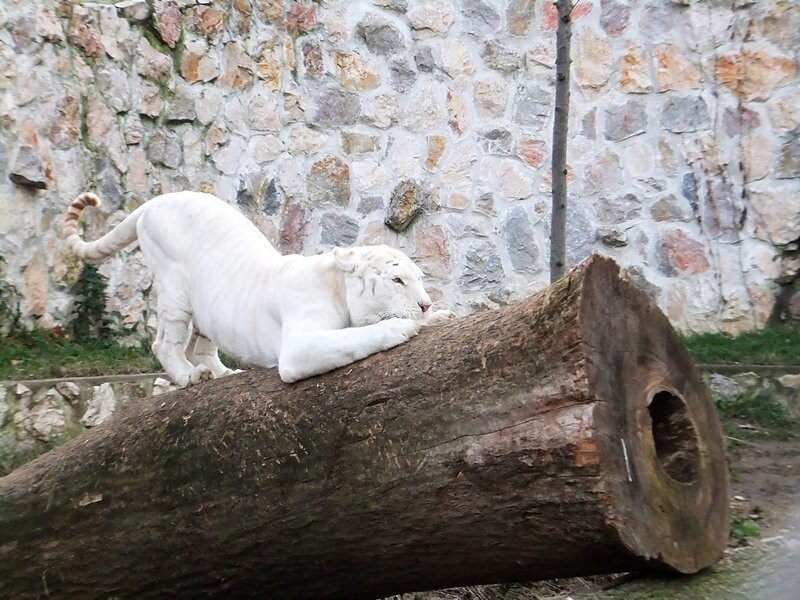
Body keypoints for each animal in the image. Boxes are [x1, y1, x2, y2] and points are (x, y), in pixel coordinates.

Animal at [63, 193, 456, 390]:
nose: (425, 304)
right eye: (397, 281)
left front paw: (444, 316)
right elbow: (358, 337)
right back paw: (190, 377)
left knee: (200, 347)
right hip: (174, 290)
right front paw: (403, 327)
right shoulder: (298, 346)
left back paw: (225, 375)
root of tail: (153, 201)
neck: (337, 285)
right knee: (165, 344)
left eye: (419, 278)